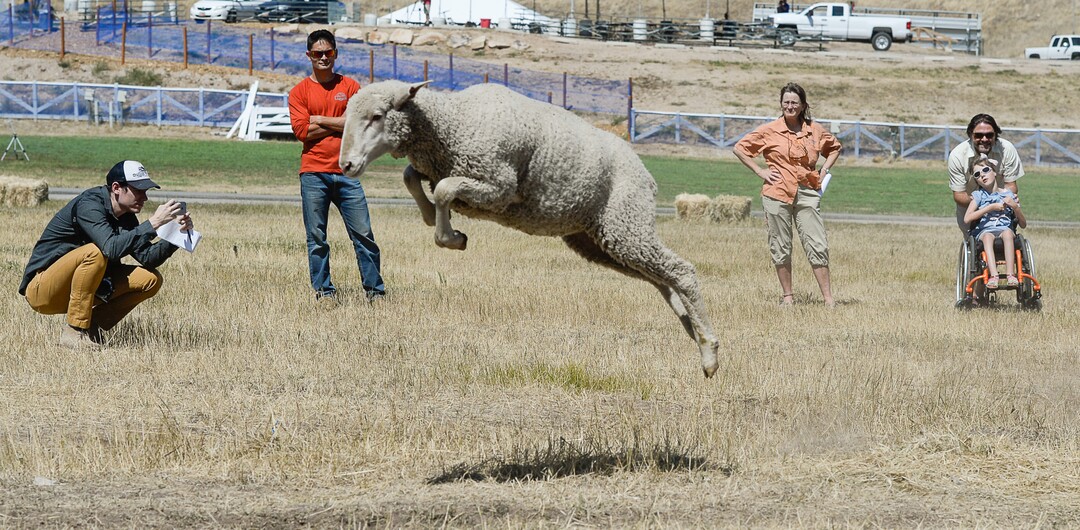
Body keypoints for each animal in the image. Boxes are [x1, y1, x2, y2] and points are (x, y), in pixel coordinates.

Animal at [339, 81, 722, 378]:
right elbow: (411, 177)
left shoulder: (497, 186)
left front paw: (452, 237)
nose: (346, 165)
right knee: (662, 279)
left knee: (680, 271)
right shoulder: (440, 169)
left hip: (625, 224)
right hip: (601, 239)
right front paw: (432, 217)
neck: (452, 123)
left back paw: (709, 351)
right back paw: (691, 328)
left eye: (377, 116)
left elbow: (445, 190)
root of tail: (645, 173)